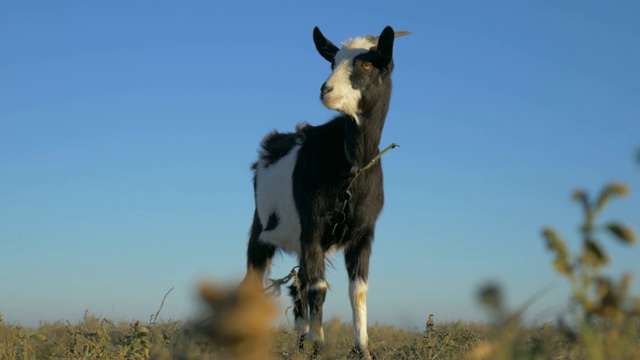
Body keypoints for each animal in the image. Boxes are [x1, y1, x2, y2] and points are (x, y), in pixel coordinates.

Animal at [240, 24, 410, 358]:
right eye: (332, 62)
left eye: (367, 64)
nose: (326, 90)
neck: (352, 165)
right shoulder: (313, 226)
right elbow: (318, 289)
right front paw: (319, 348)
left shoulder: (364, 233)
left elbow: (358, 291)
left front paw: (362, 349)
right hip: (261, 231)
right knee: (256, 283)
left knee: (299, 286)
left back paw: (300, 342)